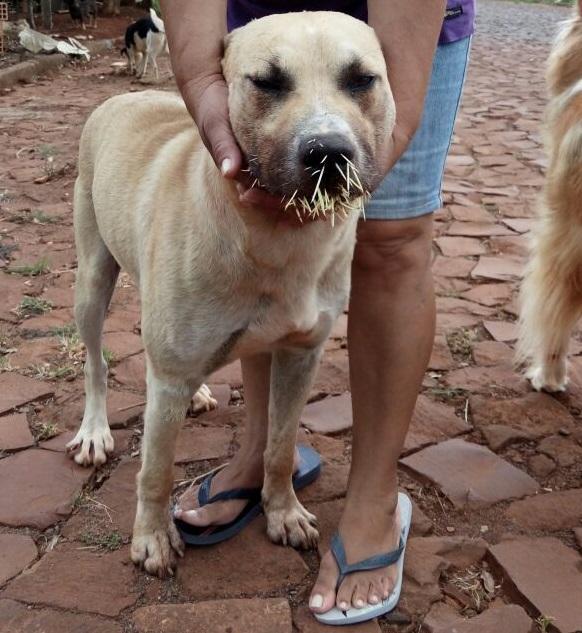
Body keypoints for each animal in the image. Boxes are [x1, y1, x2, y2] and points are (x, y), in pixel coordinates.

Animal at [67, 12, 396, 576]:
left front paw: (283, 512)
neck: (277, 239)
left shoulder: (300, 355)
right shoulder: (168, 377)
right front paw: (152, 538)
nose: (329, 153)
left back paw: (198, 393)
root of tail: (123, 97)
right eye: (266, 82)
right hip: (91, 283)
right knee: (97, 363)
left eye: (361, 79)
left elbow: (279, 447)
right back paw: (94, 431)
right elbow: (156, 469)